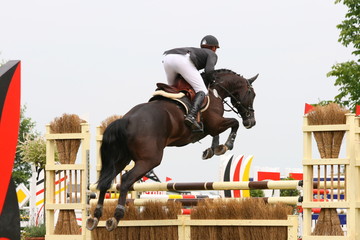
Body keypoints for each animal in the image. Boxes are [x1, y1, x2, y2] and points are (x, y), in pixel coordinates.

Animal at [86, 68, 258, 232]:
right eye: (252, 94)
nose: (251, 122)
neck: (214, 89)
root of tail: (125, 120)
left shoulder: (212, 127)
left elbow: (219, 133)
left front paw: (212, 150)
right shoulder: (215, 123)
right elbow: (234, 123)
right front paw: (225, 146)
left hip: (121, 159)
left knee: (106, 182)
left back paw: (95, 217)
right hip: (149, 160)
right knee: (126, 179)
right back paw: (116, 216)